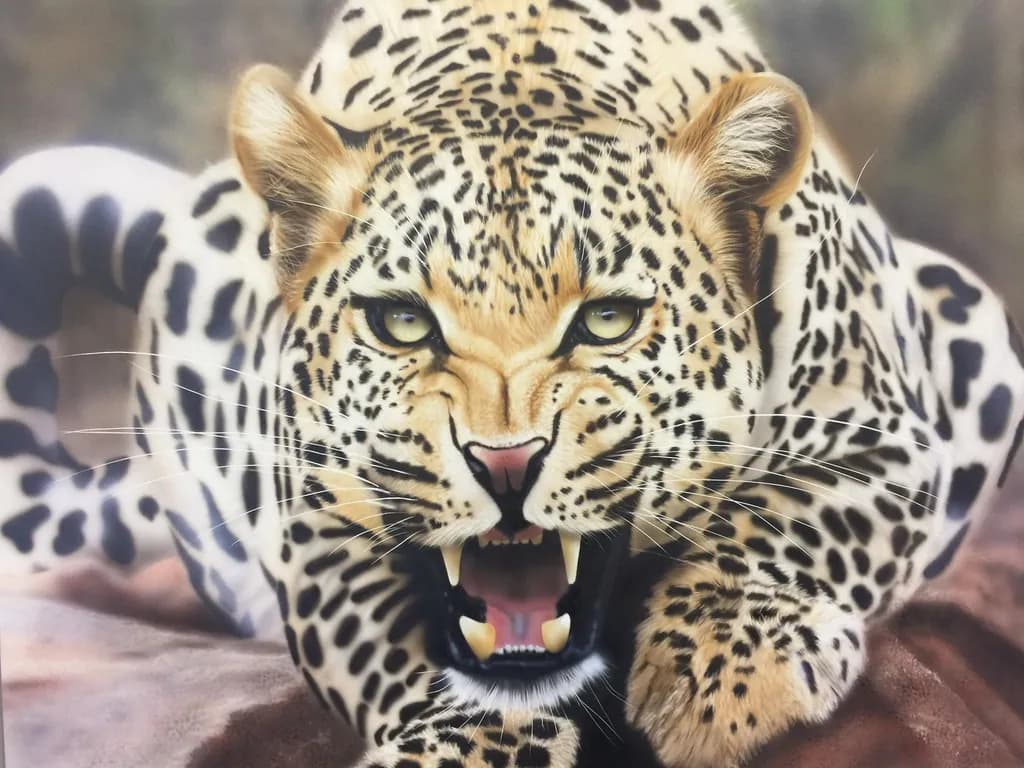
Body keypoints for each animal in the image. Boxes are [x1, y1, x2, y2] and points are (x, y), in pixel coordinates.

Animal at [2, 1, 1022, 766]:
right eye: (401, 322)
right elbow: (385, 635)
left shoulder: (889, 432)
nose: (504, 463)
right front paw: (462, 744)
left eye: (607, 320)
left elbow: (792, 518)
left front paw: (720, 672)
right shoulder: (310, 514)